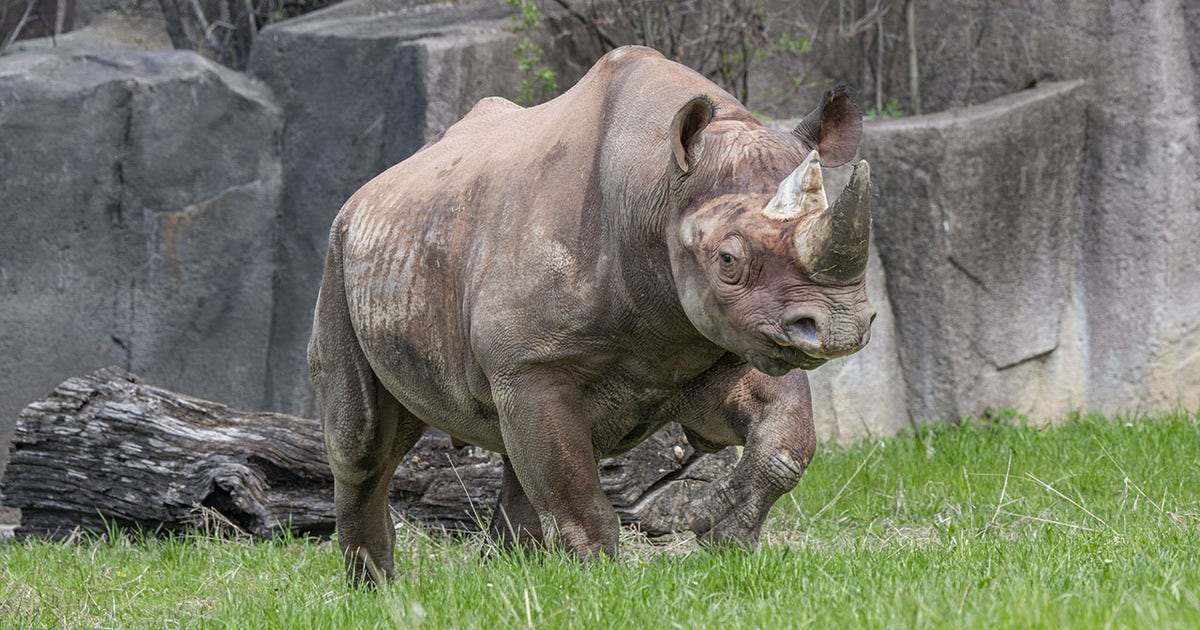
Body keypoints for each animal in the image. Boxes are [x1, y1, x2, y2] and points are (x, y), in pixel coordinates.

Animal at [308, 45, 875, 584]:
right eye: (728, 261)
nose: (842, 326)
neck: (656, 187)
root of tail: (369, 189)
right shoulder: (533, 364)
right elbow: (576, 498)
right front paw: (600, 580)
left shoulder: (733, 339)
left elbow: (788, 443)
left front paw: (717, 529)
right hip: (338, 254)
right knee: (362, 444)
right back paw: (376, 591)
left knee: (510, 453)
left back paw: (507, 574)